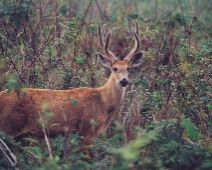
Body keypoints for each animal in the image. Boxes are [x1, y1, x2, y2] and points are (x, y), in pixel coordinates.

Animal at [0, 20, 144, 146]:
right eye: (114, 68)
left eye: (129, 68)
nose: (124, 80)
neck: (103, 102)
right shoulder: (87, 131)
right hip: (9, 126)